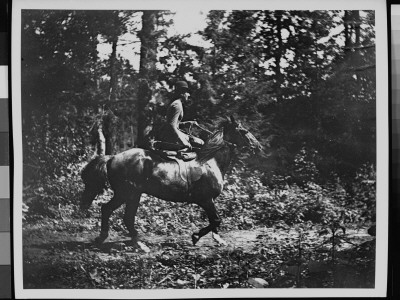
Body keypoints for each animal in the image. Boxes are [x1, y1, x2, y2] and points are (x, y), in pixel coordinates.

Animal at [79, 115, 264, 246]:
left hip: (131, 195)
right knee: (120, 214)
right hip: (128, 194)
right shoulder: (206, 200)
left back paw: (106, 239)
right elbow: (216, 220)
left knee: (112, 212)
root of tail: (112, 158)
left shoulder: (208, 201)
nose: (259, 147)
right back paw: (137, 243)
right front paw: (196, 236)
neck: (210, 161)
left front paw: (217, 239)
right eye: (244, 131)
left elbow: (215, 221)